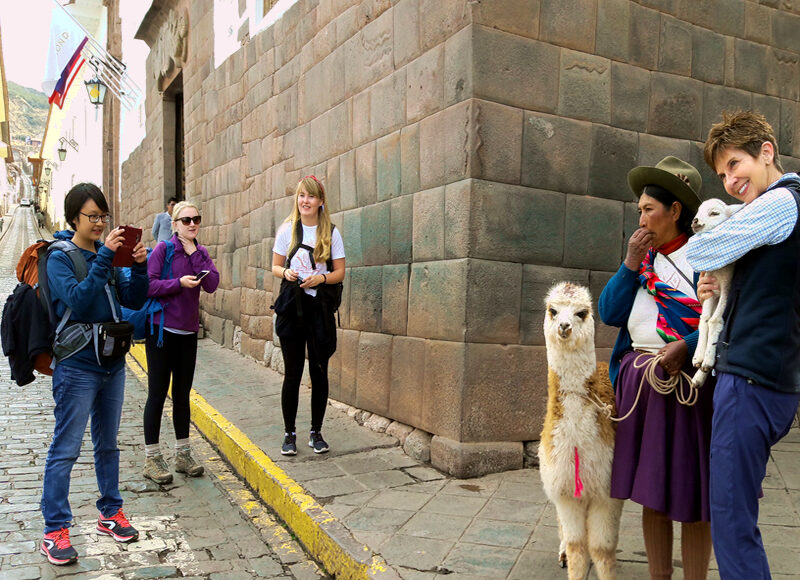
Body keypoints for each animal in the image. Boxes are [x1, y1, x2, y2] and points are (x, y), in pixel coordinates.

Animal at [540, 282, 620, 580]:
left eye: (582, 313)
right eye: (553, 311)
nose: (564, 326)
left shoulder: (607, 493)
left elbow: (602, 550)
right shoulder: (564, 491)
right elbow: (577, 549)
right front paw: (571, 560)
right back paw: (561, 552)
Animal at [688, 197, 744, 388]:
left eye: (714, 213)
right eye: (698, 211)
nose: (695, 220)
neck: (719, 271)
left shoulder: (727, 287)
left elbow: (715, 320)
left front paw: (707, 360)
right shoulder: (711, 287)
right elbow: (705, 319)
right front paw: (699, 359)